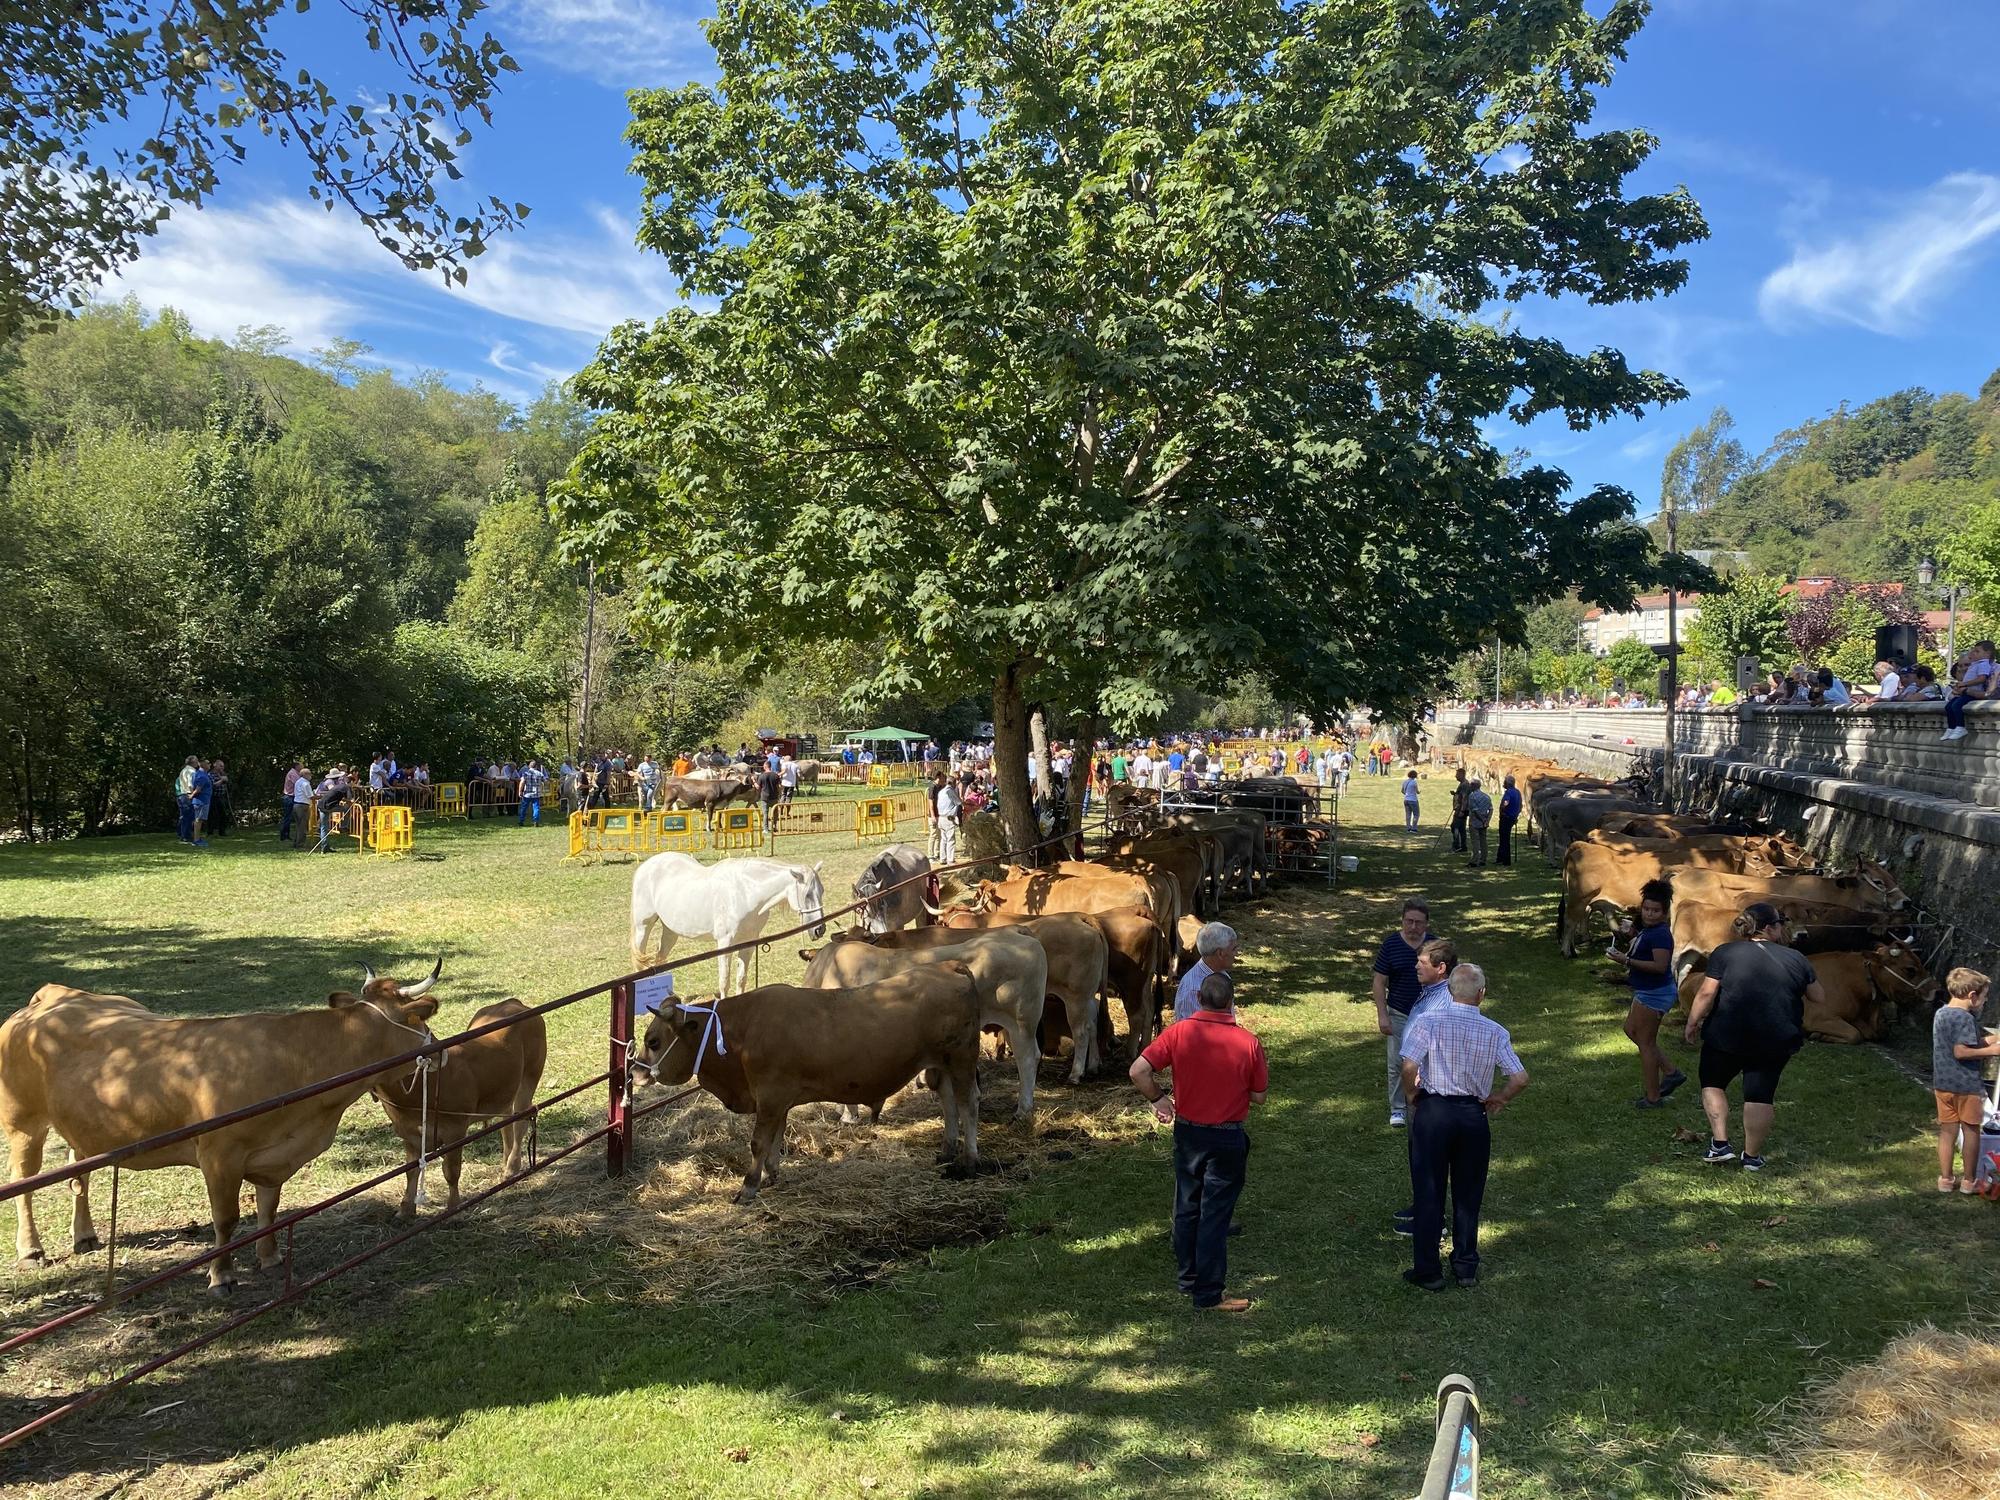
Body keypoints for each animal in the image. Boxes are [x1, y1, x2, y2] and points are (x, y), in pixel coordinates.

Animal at [0, 968, 446, 1296]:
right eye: (417, 1018)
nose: (439, 1051)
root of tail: (54, 994)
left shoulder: (273, 1155)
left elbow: (268, 1209)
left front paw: (270, 1259)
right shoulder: (219, 1154)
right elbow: (227, 1219)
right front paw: (222, 1276)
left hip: (86, 1126)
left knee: (79, 1171)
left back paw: (85, 1235)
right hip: (23, 1121)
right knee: (24, 1180)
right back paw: (31, 1249)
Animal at [372, 1000, 548, 1224]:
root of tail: (514, 1003)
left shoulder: (455, 1130)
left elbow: (451, 1170)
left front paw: (454, 1208)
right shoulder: (408, 1133)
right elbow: (411, 1171)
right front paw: (405, 1209)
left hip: (530, 1075)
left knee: (521, 1121)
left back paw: (512, 1168)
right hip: (505, 1089)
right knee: (506, 1121)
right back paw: (505, 1164)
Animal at [628, 856, 824, 1000]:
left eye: (821, 891)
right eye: (807, 895)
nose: (820, 930)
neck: (745, 892)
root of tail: (646, 865)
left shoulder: (748, 943)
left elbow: (741, 979)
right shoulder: (725, 944)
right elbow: (725, 981)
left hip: (670, 931)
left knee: (659, 959)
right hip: (643, 927)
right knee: (639, 963)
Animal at [632, 964, 984, 1208]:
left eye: (653, 1041)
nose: (635, 1072)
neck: (740, 1031)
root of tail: (948, 966)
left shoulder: (770, 1096)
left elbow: (759, 1142)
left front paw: (748, 1186)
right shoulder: (776, 1100)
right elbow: (775, 1139)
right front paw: (771, 1174)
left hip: (962, 1060)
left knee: (968, 1103)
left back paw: (969, 1159)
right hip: (942, 1064)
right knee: (949, 1102)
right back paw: (946, 1150)